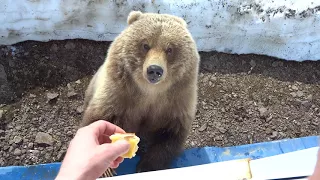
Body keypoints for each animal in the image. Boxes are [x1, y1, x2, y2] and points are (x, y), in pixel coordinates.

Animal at [80, 10, 200, 176]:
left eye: (169, 49)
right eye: (145, 45)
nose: (154, 70)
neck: (150, 92)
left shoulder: (176, 102)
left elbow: (171, 135)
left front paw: (147, 165)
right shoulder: (119, 94)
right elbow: (98, 119)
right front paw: (105, 169)